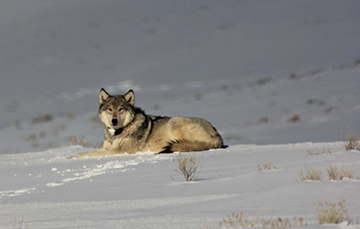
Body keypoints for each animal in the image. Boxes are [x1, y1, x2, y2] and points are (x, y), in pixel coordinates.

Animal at [67, 88, 222, 158]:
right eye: (110, 109)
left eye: (121, 109)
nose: (114, 120)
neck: (117, 133)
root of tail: (218, 137)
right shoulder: (107, 148)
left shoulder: (118, 151)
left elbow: (87, 154)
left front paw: (69, 157)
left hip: (174, 121)